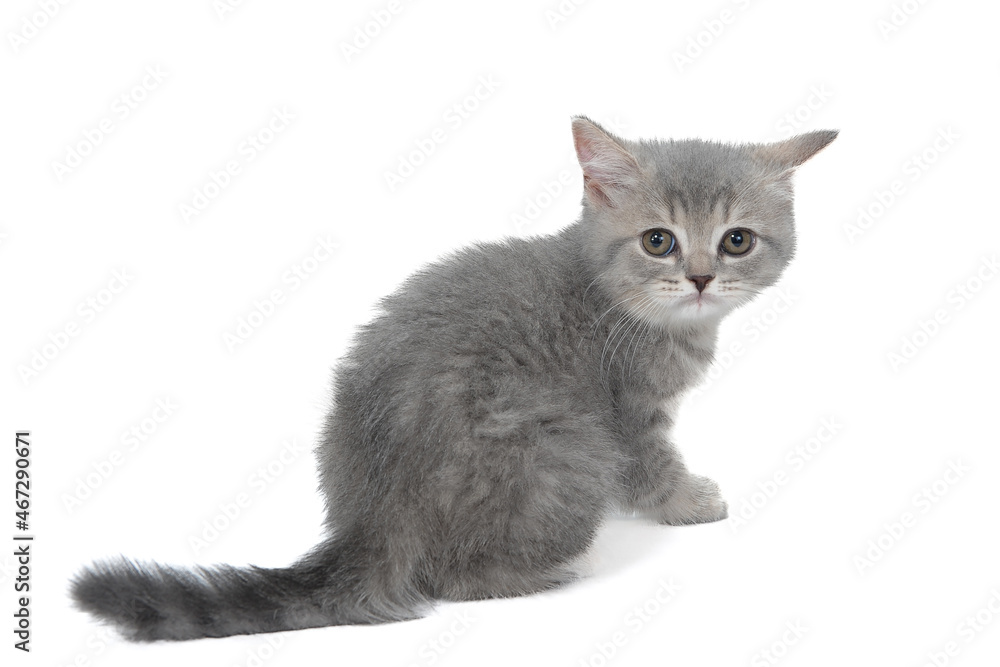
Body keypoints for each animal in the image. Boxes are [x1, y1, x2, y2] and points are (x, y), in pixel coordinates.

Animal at [72, 116, 836, 640]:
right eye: (659, 241)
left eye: (736, 239)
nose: (702, 277)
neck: (617, 300)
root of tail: (371, 518)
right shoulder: (626, 414)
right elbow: (653, 468)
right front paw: (688, 501)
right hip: (563, 441)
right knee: (453, 577)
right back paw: (545, 571)